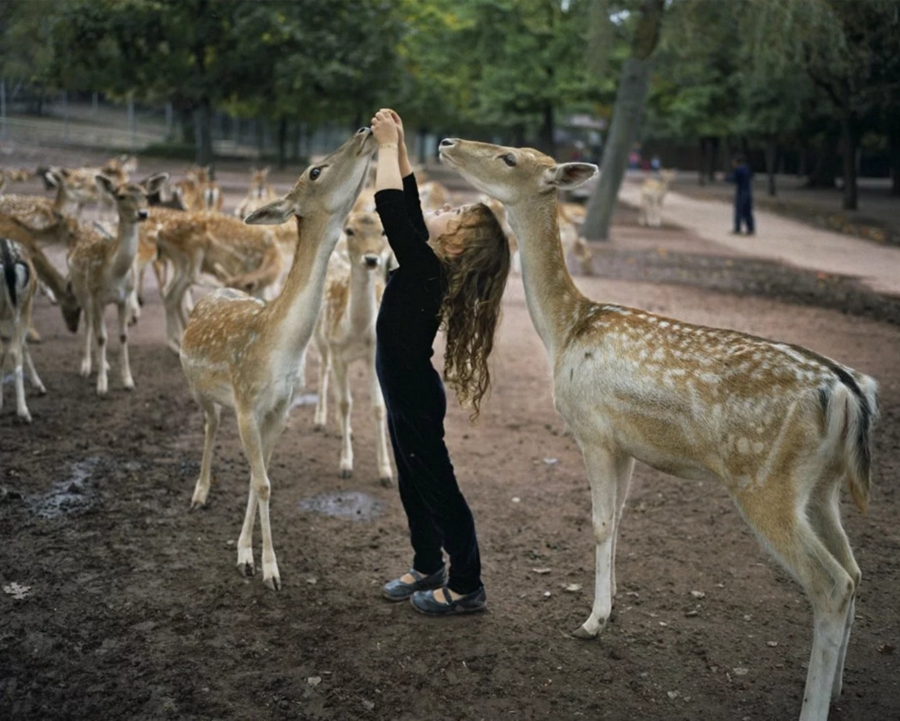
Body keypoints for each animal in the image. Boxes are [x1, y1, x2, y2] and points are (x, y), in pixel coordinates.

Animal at [66, 171, 169, 394]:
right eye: (120, 196)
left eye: (146, 195)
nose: (142, 213)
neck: (115, 273)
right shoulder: (97, 295)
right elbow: (102, 336)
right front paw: (101, 386)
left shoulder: (123, 297)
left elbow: (122, 335)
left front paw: (128, 381)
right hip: (81, 289)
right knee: (89, 323)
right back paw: (86, 366)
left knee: (95, 325)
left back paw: (103, 364)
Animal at [179, 128, 376, 592]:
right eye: (315, 171)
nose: (364, 131)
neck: (279, 347)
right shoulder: (247, 403)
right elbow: (264, 482)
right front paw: (267, 568)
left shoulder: (281, 408)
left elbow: (261, 477)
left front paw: (246, 554)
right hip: (200, 390)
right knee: (210, 425)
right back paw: (199, 493)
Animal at [312, 211, 390, 486]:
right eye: (350, 231)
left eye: (383, 231)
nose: (371, 259)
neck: (356, 331)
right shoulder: (337, 351)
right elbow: (346, 403)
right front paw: (345, 465)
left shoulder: (373, 354)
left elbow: (378, 407)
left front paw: (385, 472)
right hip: (321, 339)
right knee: (323, 370)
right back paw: (320, 420)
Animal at [440, 138, 876, 720]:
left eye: (510, 158)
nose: (447, 143)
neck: (565, 329)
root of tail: (850, 393)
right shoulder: (625, 444)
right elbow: (618, 522)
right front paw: (609, 612)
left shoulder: (592, 430)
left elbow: (600, 523)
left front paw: (590, 623)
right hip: (823, 487)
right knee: (854, 571)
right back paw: (841, 688)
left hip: (766, 482)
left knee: (830, 584)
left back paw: (812, 705)